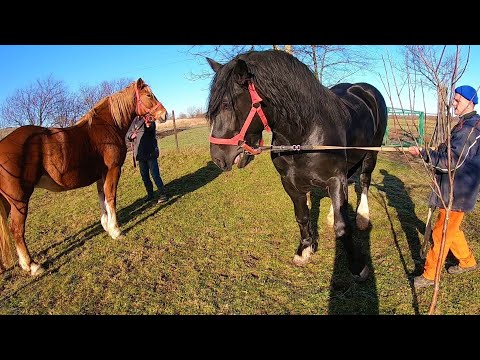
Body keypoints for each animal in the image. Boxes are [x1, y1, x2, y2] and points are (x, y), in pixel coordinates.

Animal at [0, 79, 167, 276]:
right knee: (16, 230)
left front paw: (106, 226)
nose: (164, 114)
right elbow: (111, 198)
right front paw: (116, 231)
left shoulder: (101, 175)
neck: (107, 126)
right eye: (148, 95)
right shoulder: (113, 170)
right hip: (18, 200)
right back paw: (32, 265)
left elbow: (103, 199)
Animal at [205, 50, 386, 282]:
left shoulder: (335, 179)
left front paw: (357, 266)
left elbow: (343, 227)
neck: (305, 134)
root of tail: (363, 89)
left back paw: (363, 216)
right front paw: (305, 250)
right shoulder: (290, 183)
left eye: (227, 105)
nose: (218, 158)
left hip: (372, 152)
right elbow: (302, 216)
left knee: (364, 180)